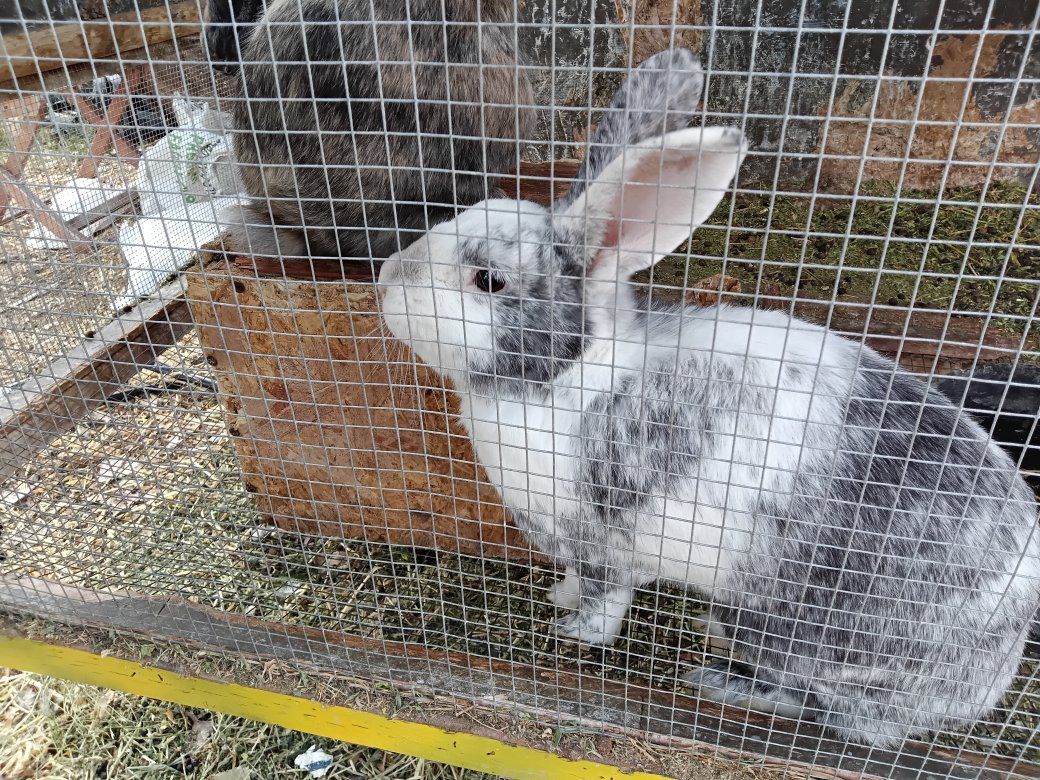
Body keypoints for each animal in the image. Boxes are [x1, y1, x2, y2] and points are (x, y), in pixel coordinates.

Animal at [377, 48, 1040, 746]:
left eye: (488, 280)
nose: (387, 278)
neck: (569, 377)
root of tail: (994, 670)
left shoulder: (603, 545)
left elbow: (606, 600)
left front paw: (572, 628)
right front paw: (560, 597)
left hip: (791, 628)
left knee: (830, 708)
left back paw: (723, 678)